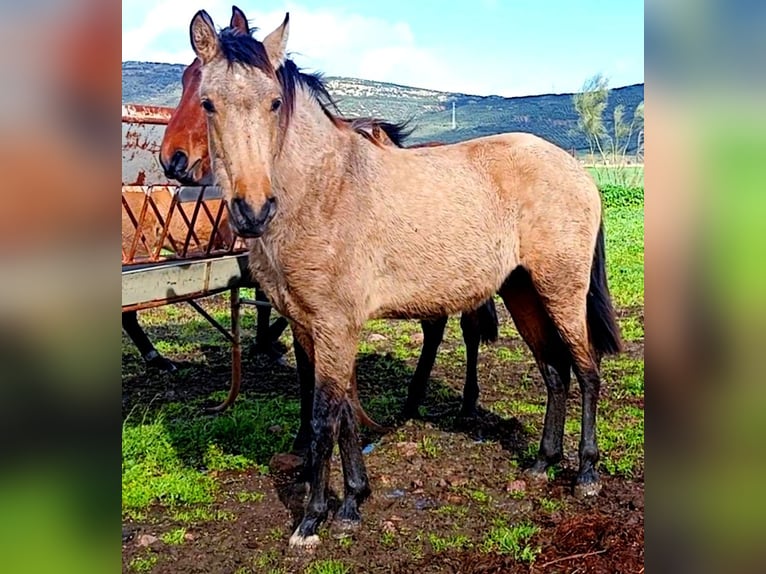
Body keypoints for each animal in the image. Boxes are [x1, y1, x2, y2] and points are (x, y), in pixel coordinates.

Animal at [190, 9, 624, 548]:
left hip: (561, 290)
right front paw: (352, 503)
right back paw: (543, 464)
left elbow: (323, 417)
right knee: (554, 373)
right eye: (208, 102)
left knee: (586, 371)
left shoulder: (334, 326)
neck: (325, 190)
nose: (252, 210)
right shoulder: (310, 326)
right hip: (521, 291)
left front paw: (312, 520)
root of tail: (577, 171)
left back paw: (586, 473)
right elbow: (345, 412)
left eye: (273, 102)